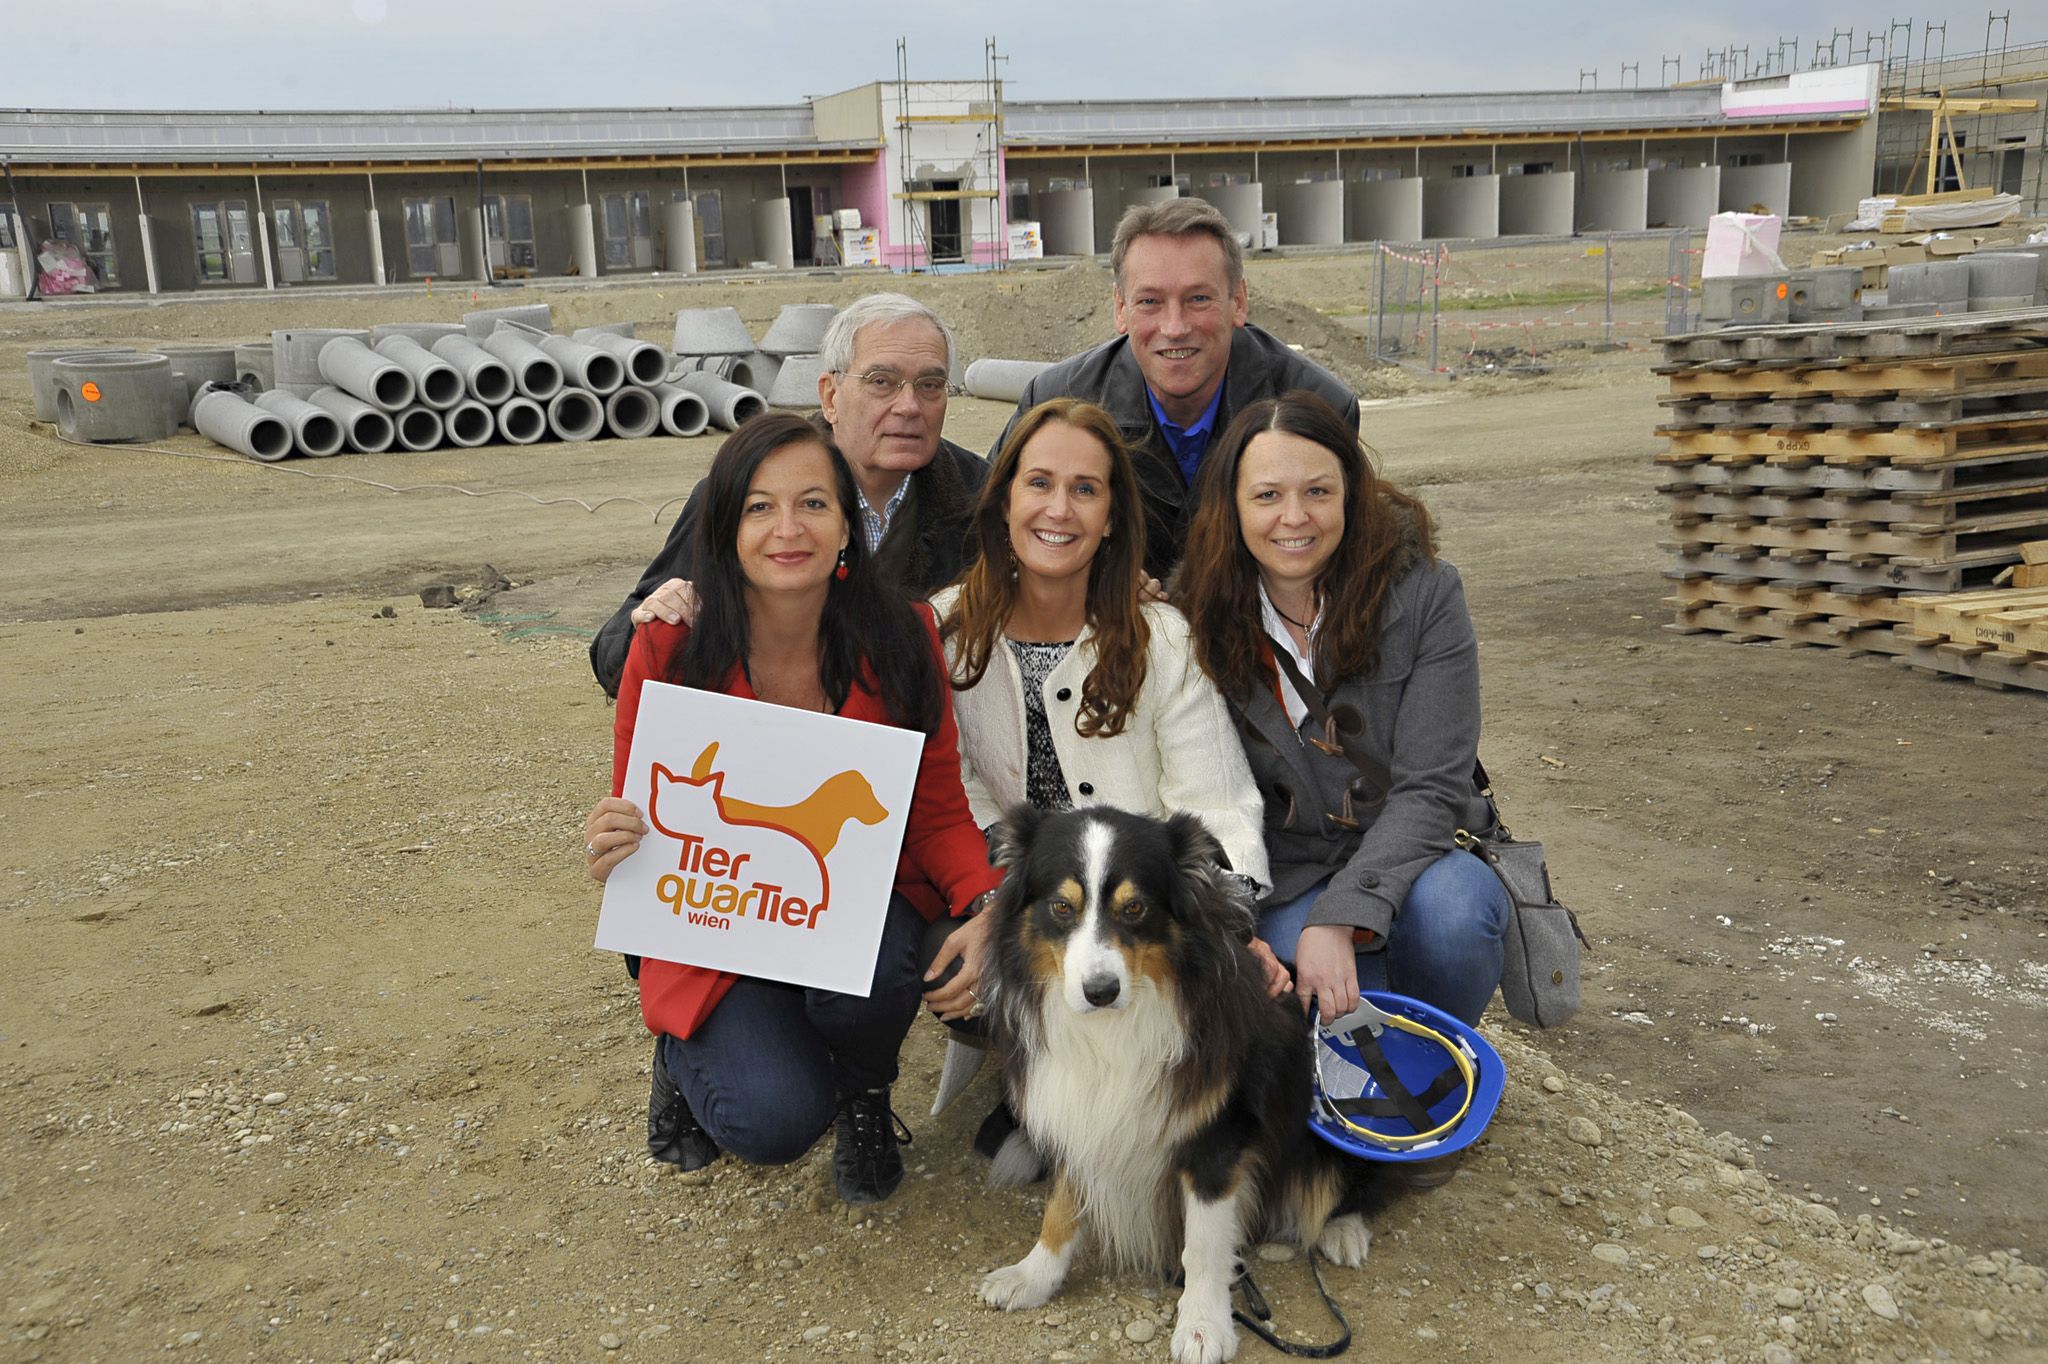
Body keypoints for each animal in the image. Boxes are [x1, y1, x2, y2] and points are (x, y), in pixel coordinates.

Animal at [974, 806, 1392, 1359]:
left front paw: (1202, 1325)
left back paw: (1342, 1230)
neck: (1116, 1026)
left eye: (1135, 908)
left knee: (1352, 1179)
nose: (1101, 991)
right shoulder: (1077, 1114)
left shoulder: (1216, 1140)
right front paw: (1032, 1277)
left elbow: (1205, 1245)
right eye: (1062, 906)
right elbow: (1060, 1208)